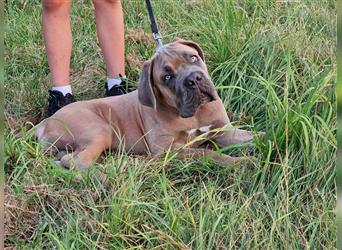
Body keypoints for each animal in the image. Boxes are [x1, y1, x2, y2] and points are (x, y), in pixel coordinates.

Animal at [36, 39, 262, 168]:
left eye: (193, 58)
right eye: (167, 77)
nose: (194, 79)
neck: (195, 113)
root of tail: (46, 121)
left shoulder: (224, 132)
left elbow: (254, 137)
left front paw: (268, 142)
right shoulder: (168, 150)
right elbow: (208, 154)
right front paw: (242, 163)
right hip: (100, 129)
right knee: (76, 162)